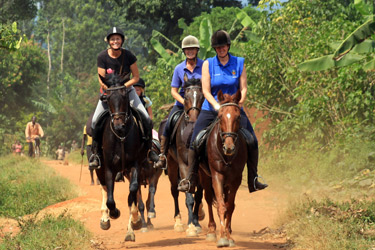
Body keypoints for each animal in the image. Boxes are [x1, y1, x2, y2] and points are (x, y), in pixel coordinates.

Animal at [198, 89, 248, 247]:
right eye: (220, 116)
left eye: (238, 117)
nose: (229, 147)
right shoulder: (217, 176)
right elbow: (221, 205)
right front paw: (221, 238)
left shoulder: (236, 179)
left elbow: (230, 205)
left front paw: (229, 236)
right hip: (205, 176)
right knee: (208, 199)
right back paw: (211, 231)